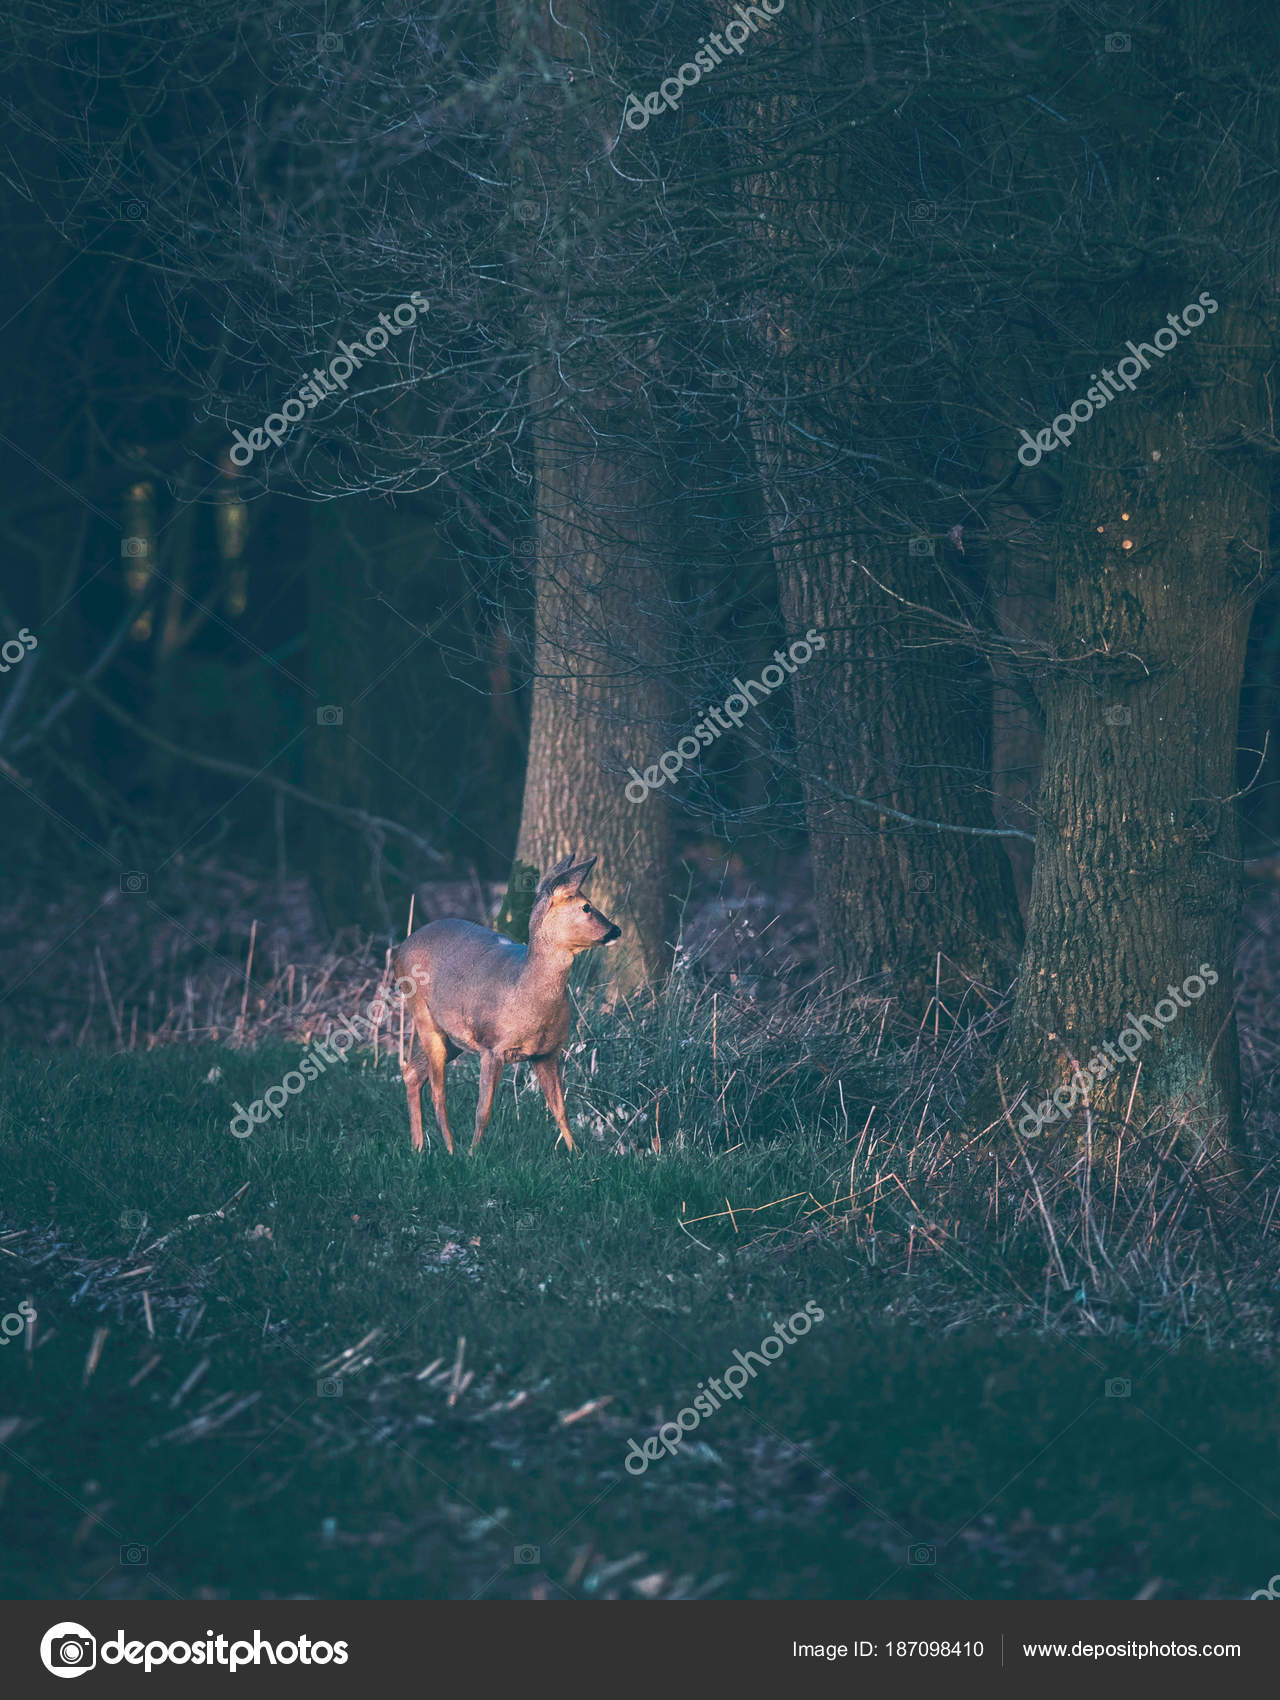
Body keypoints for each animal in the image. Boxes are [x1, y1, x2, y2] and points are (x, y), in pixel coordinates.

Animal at [394, 850, 625, 1156]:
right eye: (586, 906)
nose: (616, 929)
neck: (525, 992)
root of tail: (400, 949)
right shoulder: (492, 1047)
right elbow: (483, 1111)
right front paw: (474, 1154)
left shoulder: (547, 1052)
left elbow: (560, 1108)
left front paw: (577, 1154)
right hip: (423, 1015)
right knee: (437, 1090)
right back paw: (451, 1150)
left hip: (454, 1038)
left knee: (412, 1072)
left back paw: (418, 1147)